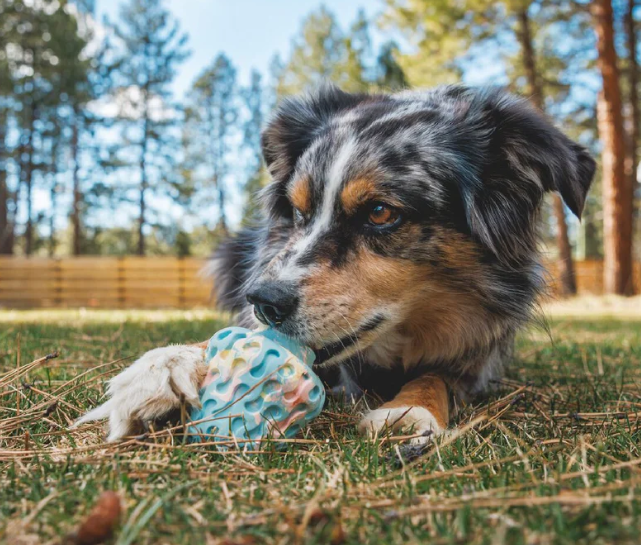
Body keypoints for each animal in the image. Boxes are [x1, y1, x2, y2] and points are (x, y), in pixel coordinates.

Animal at [75, 84, 596, 442]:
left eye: (381, 213)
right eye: (298, 211)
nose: (262, 299)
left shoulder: (479, 357)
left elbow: (436, 377)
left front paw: (409, 409)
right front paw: (162, 368)